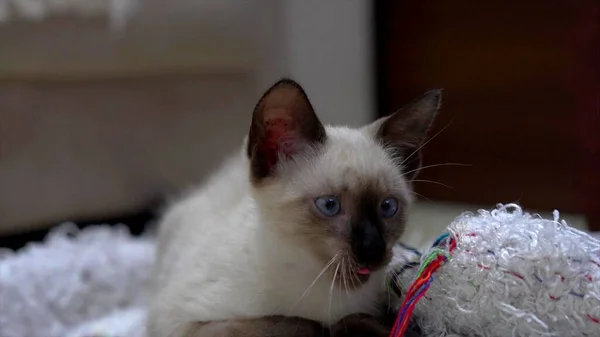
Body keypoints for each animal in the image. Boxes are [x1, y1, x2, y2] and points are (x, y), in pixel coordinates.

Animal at [148, 79, 442, 336]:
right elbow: (303, 325)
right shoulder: (184, 324)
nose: (372, 249)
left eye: (388, 207)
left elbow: (362, 320)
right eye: (329, 205)